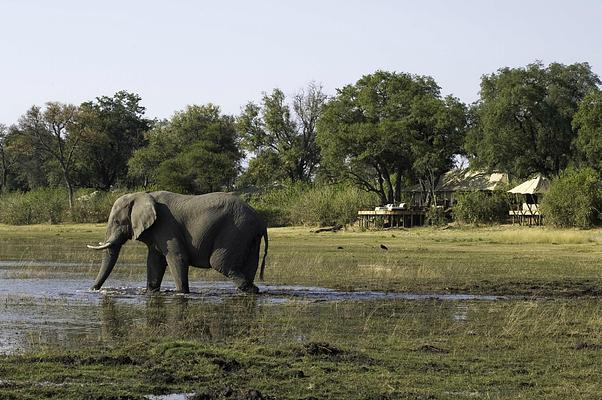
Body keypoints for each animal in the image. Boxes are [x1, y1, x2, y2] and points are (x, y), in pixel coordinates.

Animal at [86, 191, 268, 294]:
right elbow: (154, 262)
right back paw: (249, 290)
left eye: (117, 221)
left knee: (219, 263)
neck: (141, 195)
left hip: (235, 230)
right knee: (249, 265)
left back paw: (251, 289)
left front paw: (181, 293)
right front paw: (151, 292)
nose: (93, 289)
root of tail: (260, 220)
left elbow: (176, 257)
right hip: (249, 235)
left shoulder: (166, 226)